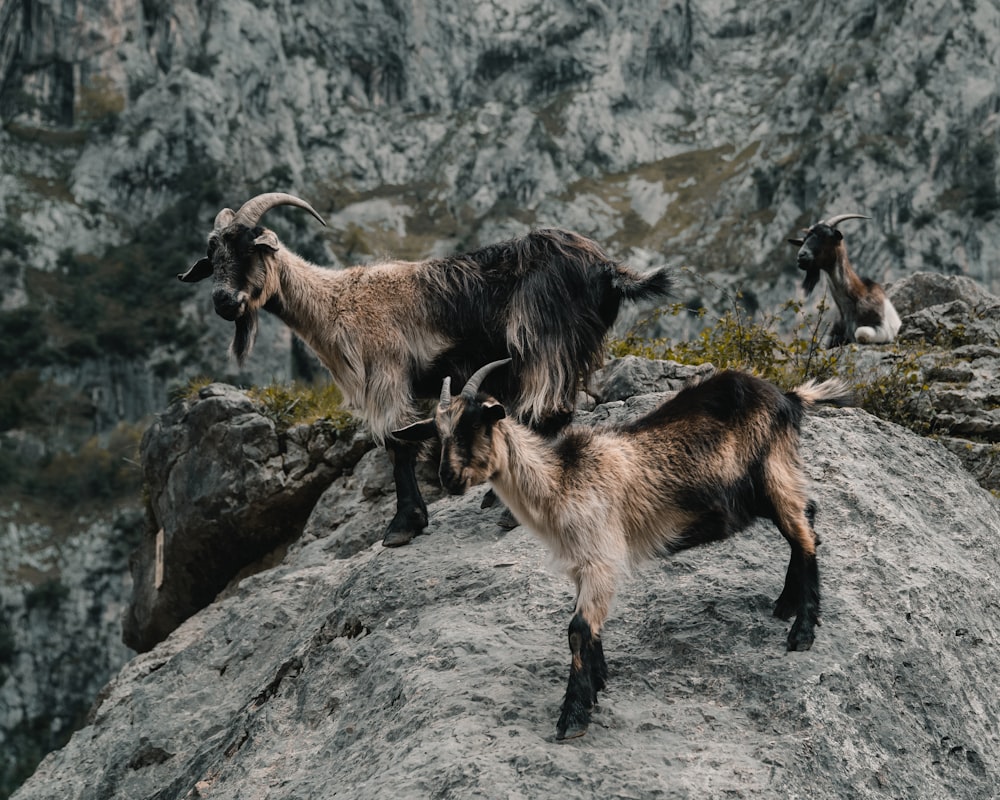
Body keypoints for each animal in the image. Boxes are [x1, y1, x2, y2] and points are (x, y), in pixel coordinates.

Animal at [184, 191, 676, 548]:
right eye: (213, 256)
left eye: (250, 247)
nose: (224, 302)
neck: (337, 303)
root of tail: (607, 268)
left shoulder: (387, 374)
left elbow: (396, 444)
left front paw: (403, 525)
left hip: (544, 341)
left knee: (549, 410)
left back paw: (507, 512)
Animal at [394, 360, 848, 740]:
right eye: (438, 433)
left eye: (475, 425)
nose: (449, 480)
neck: (561, 481)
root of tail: (787, 397)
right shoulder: (582, 565)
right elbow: (586, 627)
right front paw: (598, 681)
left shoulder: (602, 557)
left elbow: (577, 629)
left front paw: (573, 717)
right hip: (765, 489)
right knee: (807, 520)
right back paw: (786, 603)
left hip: (773, 472)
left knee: (803, 533)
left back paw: (801, 632)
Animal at [784, 212, 904, 346]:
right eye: (804, 240)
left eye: (826, 236)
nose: (801, 256)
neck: (856, 297)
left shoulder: (884, 330)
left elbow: (860, 333)